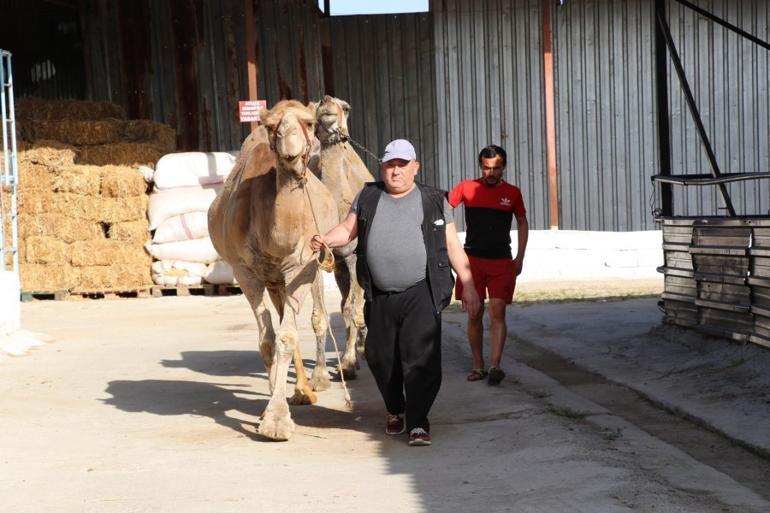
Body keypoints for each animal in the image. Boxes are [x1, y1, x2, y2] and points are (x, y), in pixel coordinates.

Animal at [207, 100, 336, 440]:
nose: (290, 148)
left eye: (309, 121)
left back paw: (309, 387)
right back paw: (299, 391)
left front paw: (278, 420)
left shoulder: (302, 266)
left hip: (304, 272)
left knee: (309, 317)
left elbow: (287, 336)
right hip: (272, 280)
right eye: (271, 125)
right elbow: (267, 338)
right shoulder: (245, 272)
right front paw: (270, 413)